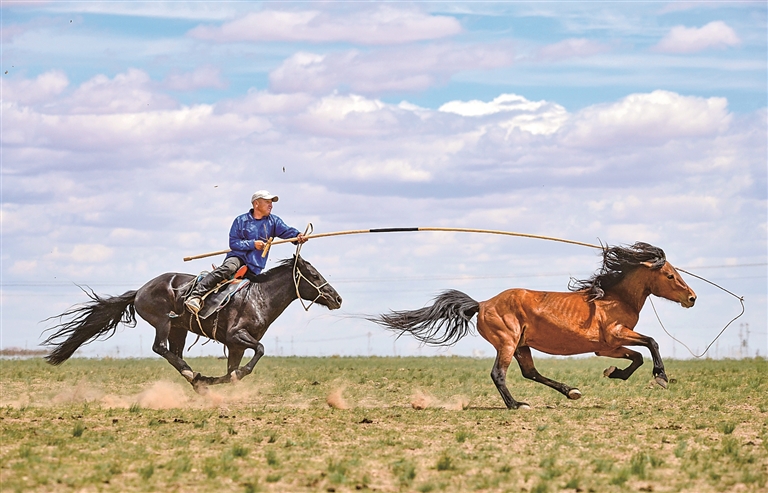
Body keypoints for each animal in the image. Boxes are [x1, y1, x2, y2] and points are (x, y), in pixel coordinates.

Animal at [42, 255, 342, 393]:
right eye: (314, 275)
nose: (337, 298)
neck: (259, 296)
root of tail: (140, 290)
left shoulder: (235, 346)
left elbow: (233, 369)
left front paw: (217, 379)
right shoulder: (236, 336)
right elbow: (260, 350)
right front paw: (226, 376)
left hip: (180, 329)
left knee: (173, 352)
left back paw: (197, 379)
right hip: (163, 322)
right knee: (160, 349)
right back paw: (192, 375)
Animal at [371, 242, 696, 409]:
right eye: (669, 275)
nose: (692, 297)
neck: (613, 298)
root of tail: (482, 304)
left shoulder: (608, 347)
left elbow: (637, 356)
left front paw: (615, 373)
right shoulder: (616, 335)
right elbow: (652, 342)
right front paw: (660, 377)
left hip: (521, 346)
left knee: (530, 372)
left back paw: (570, 392)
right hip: (507, 342)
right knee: (499, 374)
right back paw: (516, 405)